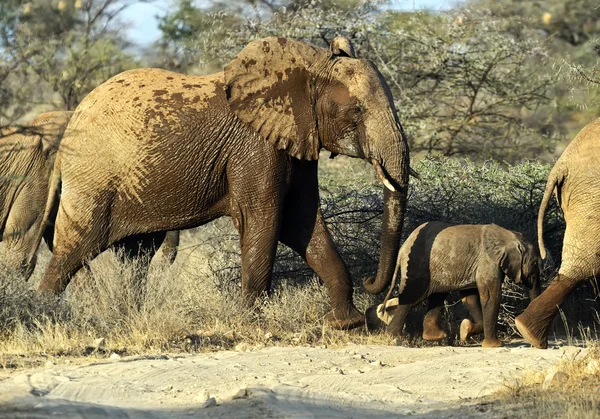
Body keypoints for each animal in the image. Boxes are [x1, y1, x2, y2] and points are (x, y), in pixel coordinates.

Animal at [37, 37, 410, 332]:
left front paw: (346, 323)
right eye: (357, 112)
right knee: (73, 250)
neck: (307, 65)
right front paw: (252, 323)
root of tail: (67, 136)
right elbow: (264, 219)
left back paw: (124, 314)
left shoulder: (298, 140)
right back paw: (41, 314)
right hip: (92, 181)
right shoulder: (255, 145)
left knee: (135, 254)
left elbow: (302, 223)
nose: (372, 285)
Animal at [364, 223, 540, 348]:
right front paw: (495, 346)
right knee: (413, 297)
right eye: (535, 264)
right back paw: (393, 336)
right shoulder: (488, 261)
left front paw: (465, 330)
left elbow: (470, 298)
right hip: (418, 267)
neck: (508, 236)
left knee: (437, 296)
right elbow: (491, 296)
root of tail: (402, 248)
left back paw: (433, 336)